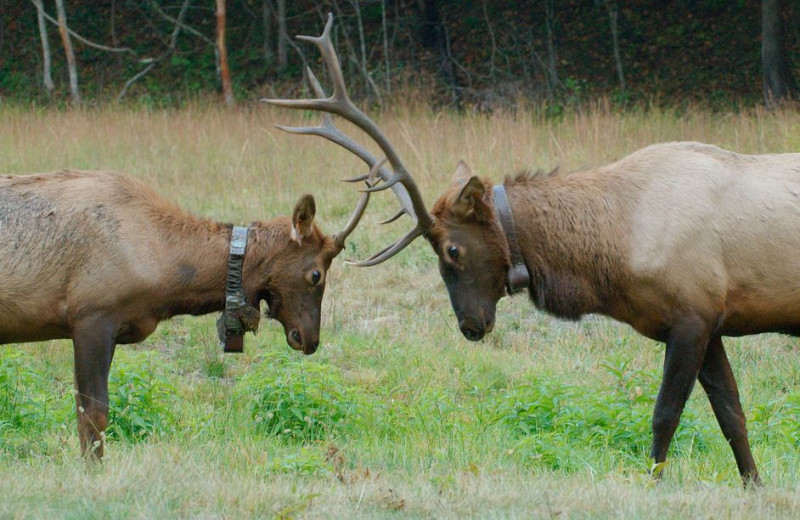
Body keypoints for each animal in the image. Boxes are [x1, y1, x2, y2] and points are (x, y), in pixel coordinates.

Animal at [268, 14, 800, 486]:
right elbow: (732, 414)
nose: (471, 326)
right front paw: (754, 484)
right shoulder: (710, 320)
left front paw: (654, 484)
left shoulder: (692, 314)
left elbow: (665, 413)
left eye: (453, 251)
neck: (617, 249)